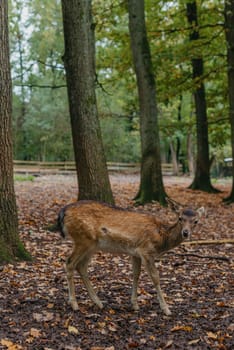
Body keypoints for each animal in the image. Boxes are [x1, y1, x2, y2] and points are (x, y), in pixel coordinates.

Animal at [57, 198, 204, 316]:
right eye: (180, 218)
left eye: (196, 221)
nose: (186, 233)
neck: (161, 238)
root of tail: (63, 211)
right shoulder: (146, 251)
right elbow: (155, 278)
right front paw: (166, 309)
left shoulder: (136, 253)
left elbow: (135, 274)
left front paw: (135, 305)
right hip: (83, 239)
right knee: (69, 263)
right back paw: (74, 304)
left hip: (92, 245)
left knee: (81, 266)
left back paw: (98, 302)